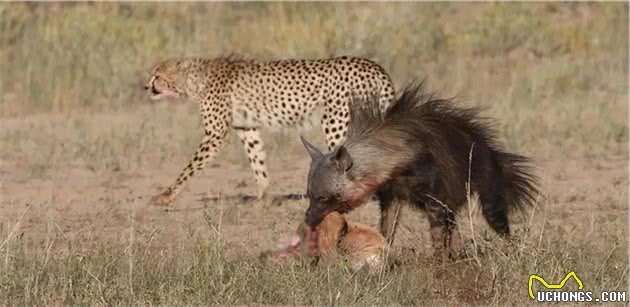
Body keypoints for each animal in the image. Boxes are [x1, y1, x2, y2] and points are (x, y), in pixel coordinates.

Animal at [146, 56, 398, 207]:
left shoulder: (215, 134)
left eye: (157, 75)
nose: (146, 86)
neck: (194, 80)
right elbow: (257, 162)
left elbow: (190, 166)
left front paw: (166, 196)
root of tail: (372, 65)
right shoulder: (247, 129)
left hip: (336, 121)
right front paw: (262, 198)